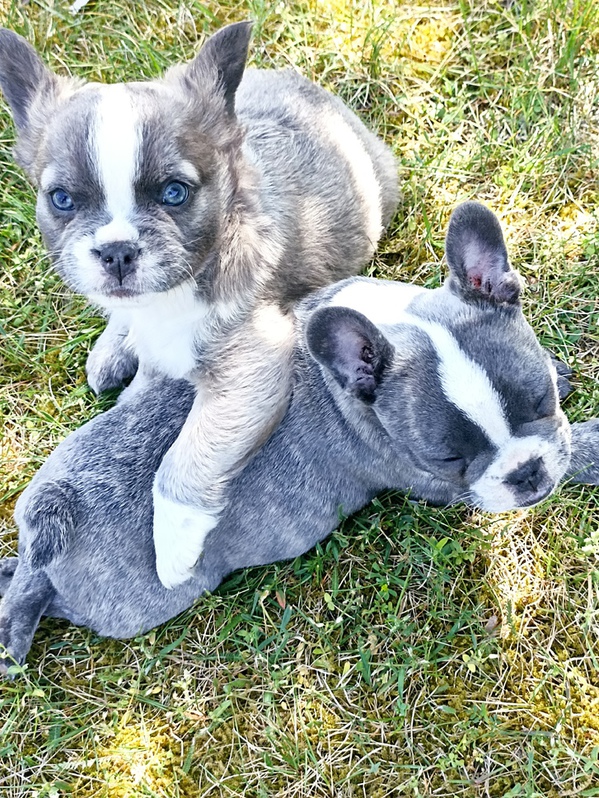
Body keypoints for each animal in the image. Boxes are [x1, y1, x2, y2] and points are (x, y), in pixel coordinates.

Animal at [0, 21, 400, 592]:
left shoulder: (253, 365)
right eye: (61, 200)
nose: (117, 251)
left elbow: (183, 458)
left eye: (174, 193)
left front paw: (171, 548)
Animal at [2, 203, 596, 672]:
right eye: (449, 459)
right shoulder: (435, 482)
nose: (526, 473)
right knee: (58, 598)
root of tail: (60, 508)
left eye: (540, 400)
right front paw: (588, 446)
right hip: (137, 603)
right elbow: (573, 456)